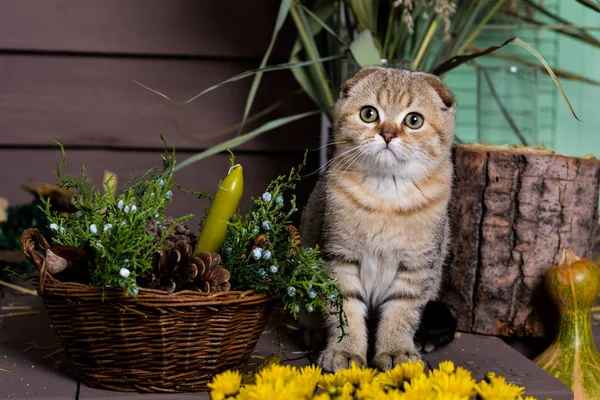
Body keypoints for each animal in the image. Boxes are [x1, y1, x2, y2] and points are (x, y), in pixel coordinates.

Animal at [298, 66, 458, 372]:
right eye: (369, 114)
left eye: (414, 120)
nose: (388, 134)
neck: (386, 197)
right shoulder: (339, 259)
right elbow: (344, 312)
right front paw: (345, 350)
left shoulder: (416, 268)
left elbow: (401, 314)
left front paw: (396, 351)